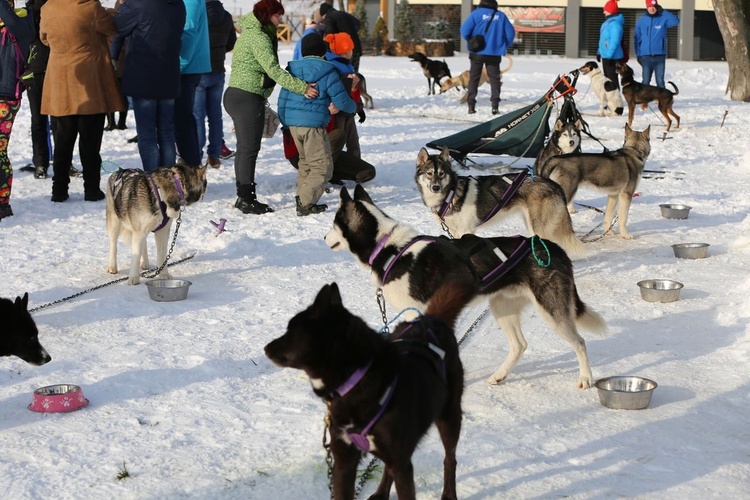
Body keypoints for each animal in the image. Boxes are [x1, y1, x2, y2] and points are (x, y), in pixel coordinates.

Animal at [266, 284, 470, 500]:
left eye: (290, 331)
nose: (265, 348)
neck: (356, 381)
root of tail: (431, 320)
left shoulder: (402, 465)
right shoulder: (344, 462)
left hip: (449, 418)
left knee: (450, 458)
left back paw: (449, 494)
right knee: (389, 468)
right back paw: (380, 494)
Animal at [326, 186, 608, 388]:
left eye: (333, 224)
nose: (325, 237)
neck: (389, 248)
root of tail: (555, 248)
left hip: (552, 311)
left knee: (580, 342)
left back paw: (585, 378)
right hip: (501, 307)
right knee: (519, 345)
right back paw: (499, 375)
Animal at [418, 146, 588, 258]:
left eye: (441, 174)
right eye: (429, 174)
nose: (435, 187)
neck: (450, 194)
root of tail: (554, 184)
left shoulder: (465, 231)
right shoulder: (454, 232)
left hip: (539, 227)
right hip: (531, 224)